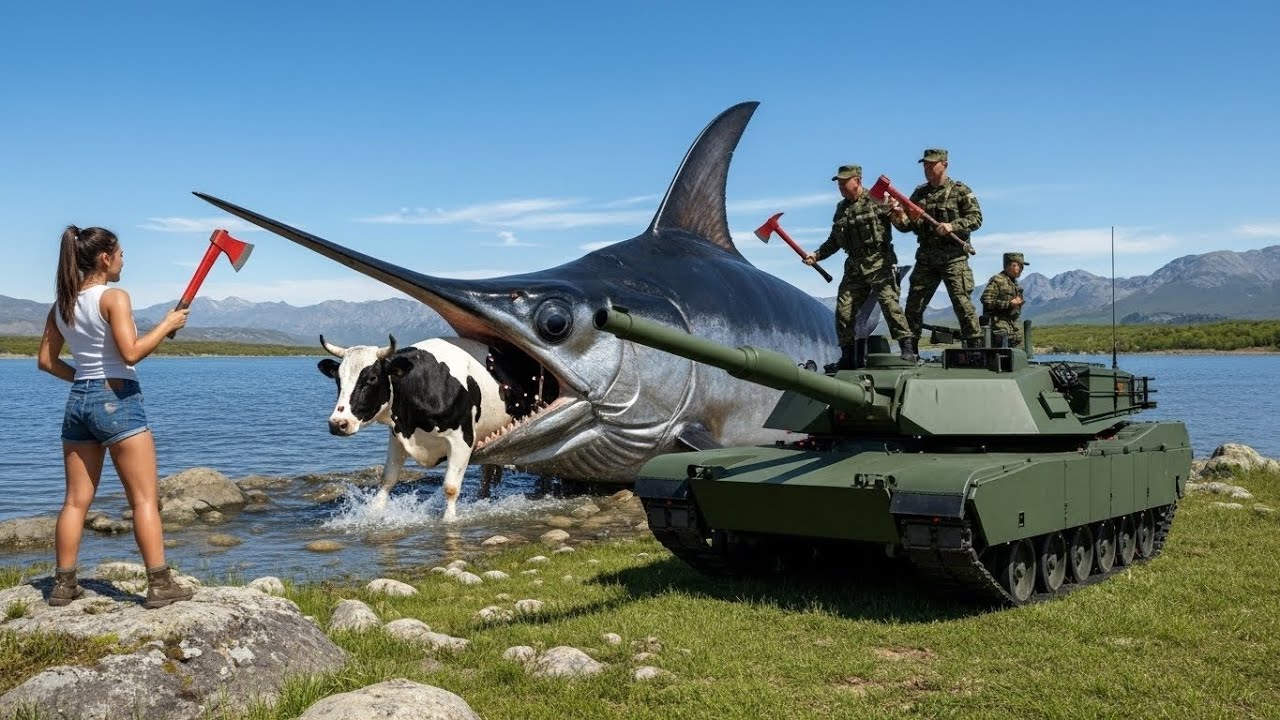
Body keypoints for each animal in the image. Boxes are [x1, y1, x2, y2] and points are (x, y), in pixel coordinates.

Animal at [317, 335, 513, 520]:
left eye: (372, 378)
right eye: (338, 379)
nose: (337, 423)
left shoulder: (461, 440)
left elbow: (450, 488)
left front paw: (449, 520)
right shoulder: (398, 437)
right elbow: (387, 480)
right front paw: (373, 514)